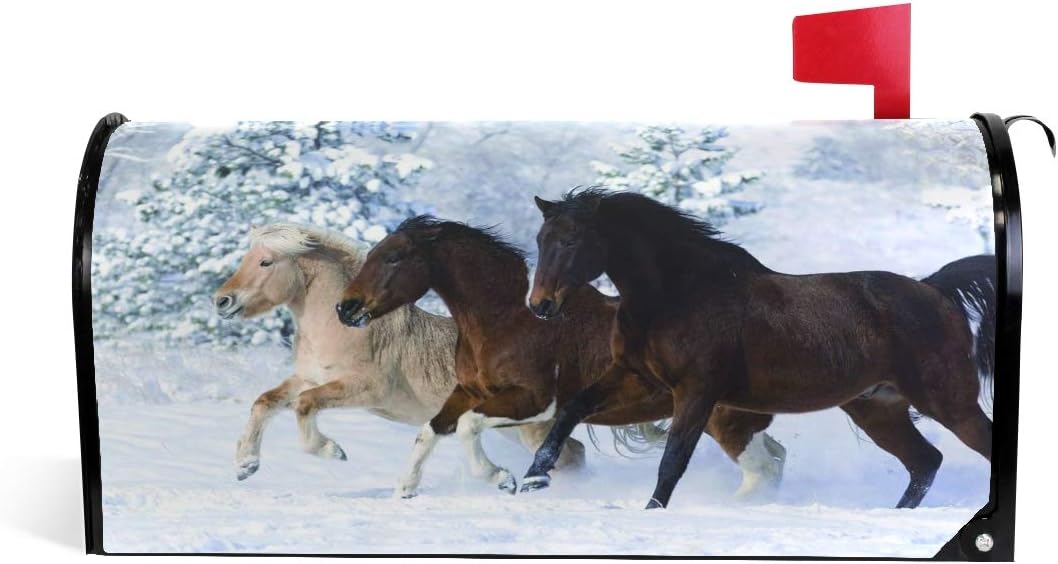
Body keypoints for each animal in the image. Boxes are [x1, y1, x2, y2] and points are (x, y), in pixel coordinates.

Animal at [212, 223, 587, 482]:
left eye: (265, 262)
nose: (221, 301)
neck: (342, 329)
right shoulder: (308, 378)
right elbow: (265, 402)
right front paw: (246, 465)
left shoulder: (366, 389)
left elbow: (304, 406)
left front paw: (332, 451)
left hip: (528, 426)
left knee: (571, 454)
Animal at [337, 215, 788, 499]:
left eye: (393, 257)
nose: (346, 308)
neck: (507, 319)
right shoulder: (468, 391)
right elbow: (430, 430)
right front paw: (405, 489)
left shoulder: (536, 401)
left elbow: (467, 427)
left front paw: (502, 479)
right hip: (732, 420)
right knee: (774, 458)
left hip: (724, 420)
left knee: (763, 469)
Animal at [525, 189, 996, 509]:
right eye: (540, 239)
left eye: (571, 241)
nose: (540, 305)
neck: (677, 293)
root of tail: (934, 290)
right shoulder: (638, 377)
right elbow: (571, 409)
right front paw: (533, 479)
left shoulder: (696, 391)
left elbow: (673, 458)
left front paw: (651, 512)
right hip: (878, 408)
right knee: (925, 462)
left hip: (948, 402)